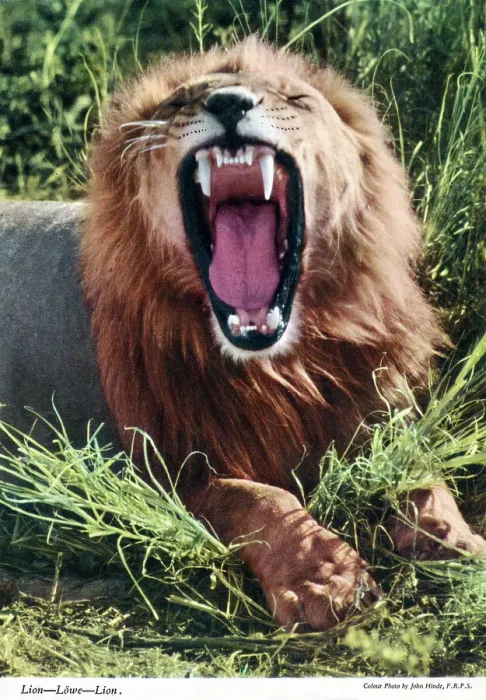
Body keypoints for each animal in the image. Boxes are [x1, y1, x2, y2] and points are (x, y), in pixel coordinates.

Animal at [1, 38, 486, 629]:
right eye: (179, 101)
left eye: (296, 98)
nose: (229, 102)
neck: (285, 364)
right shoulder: (161, 470)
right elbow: (258, 497)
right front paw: (325, 579)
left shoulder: (380, 412)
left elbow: (422, 472)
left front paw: (455, 540)